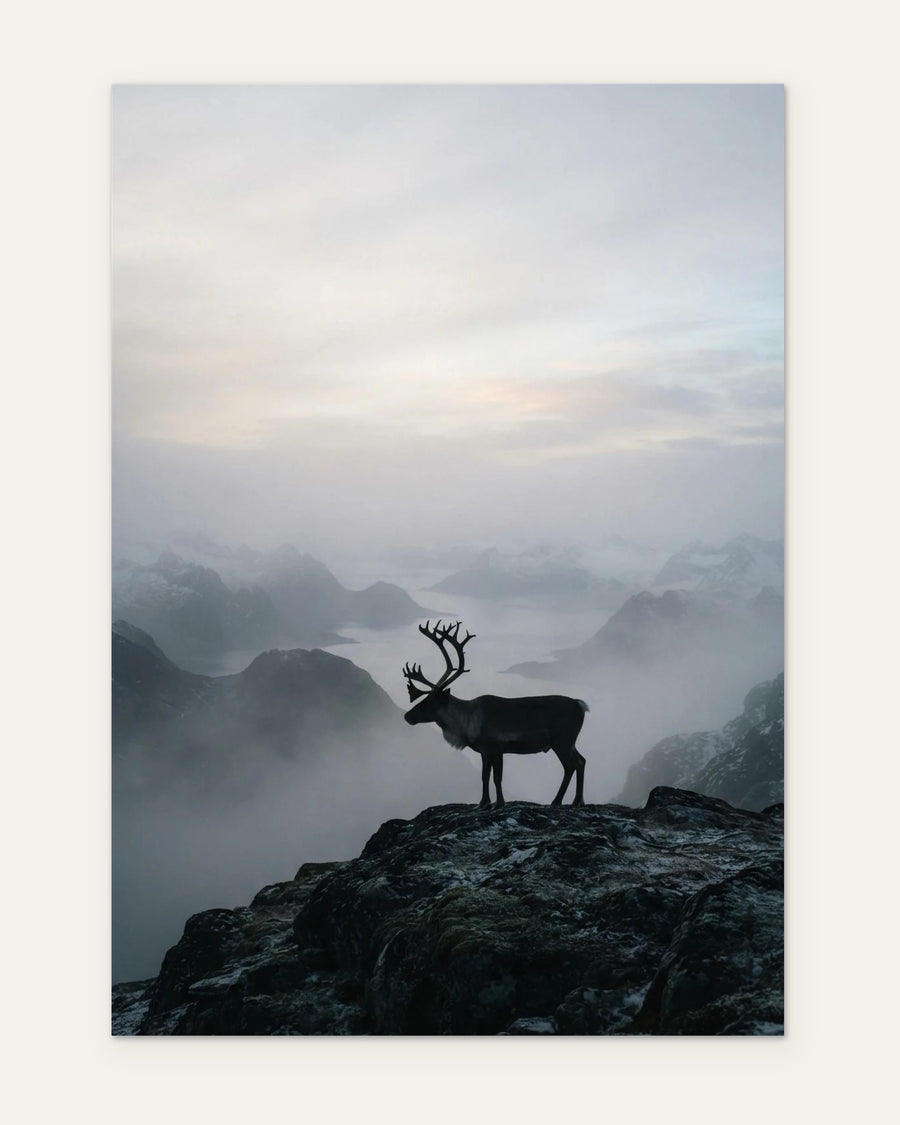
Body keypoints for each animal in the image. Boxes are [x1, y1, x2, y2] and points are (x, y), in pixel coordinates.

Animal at [403, 620, 589, 808]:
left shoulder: (497, 747)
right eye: (424, 698)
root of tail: (580, 705)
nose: (407, 716)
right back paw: (577, 800)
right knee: (581, 761)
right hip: (569, 742)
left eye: (430, 702)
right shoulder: (485, 751)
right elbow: (484, 776)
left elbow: (496, 778)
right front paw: (483, 802)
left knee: (571, 765)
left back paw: (557, 801)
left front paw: (499, 803)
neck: (468, 725)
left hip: (562, 740)